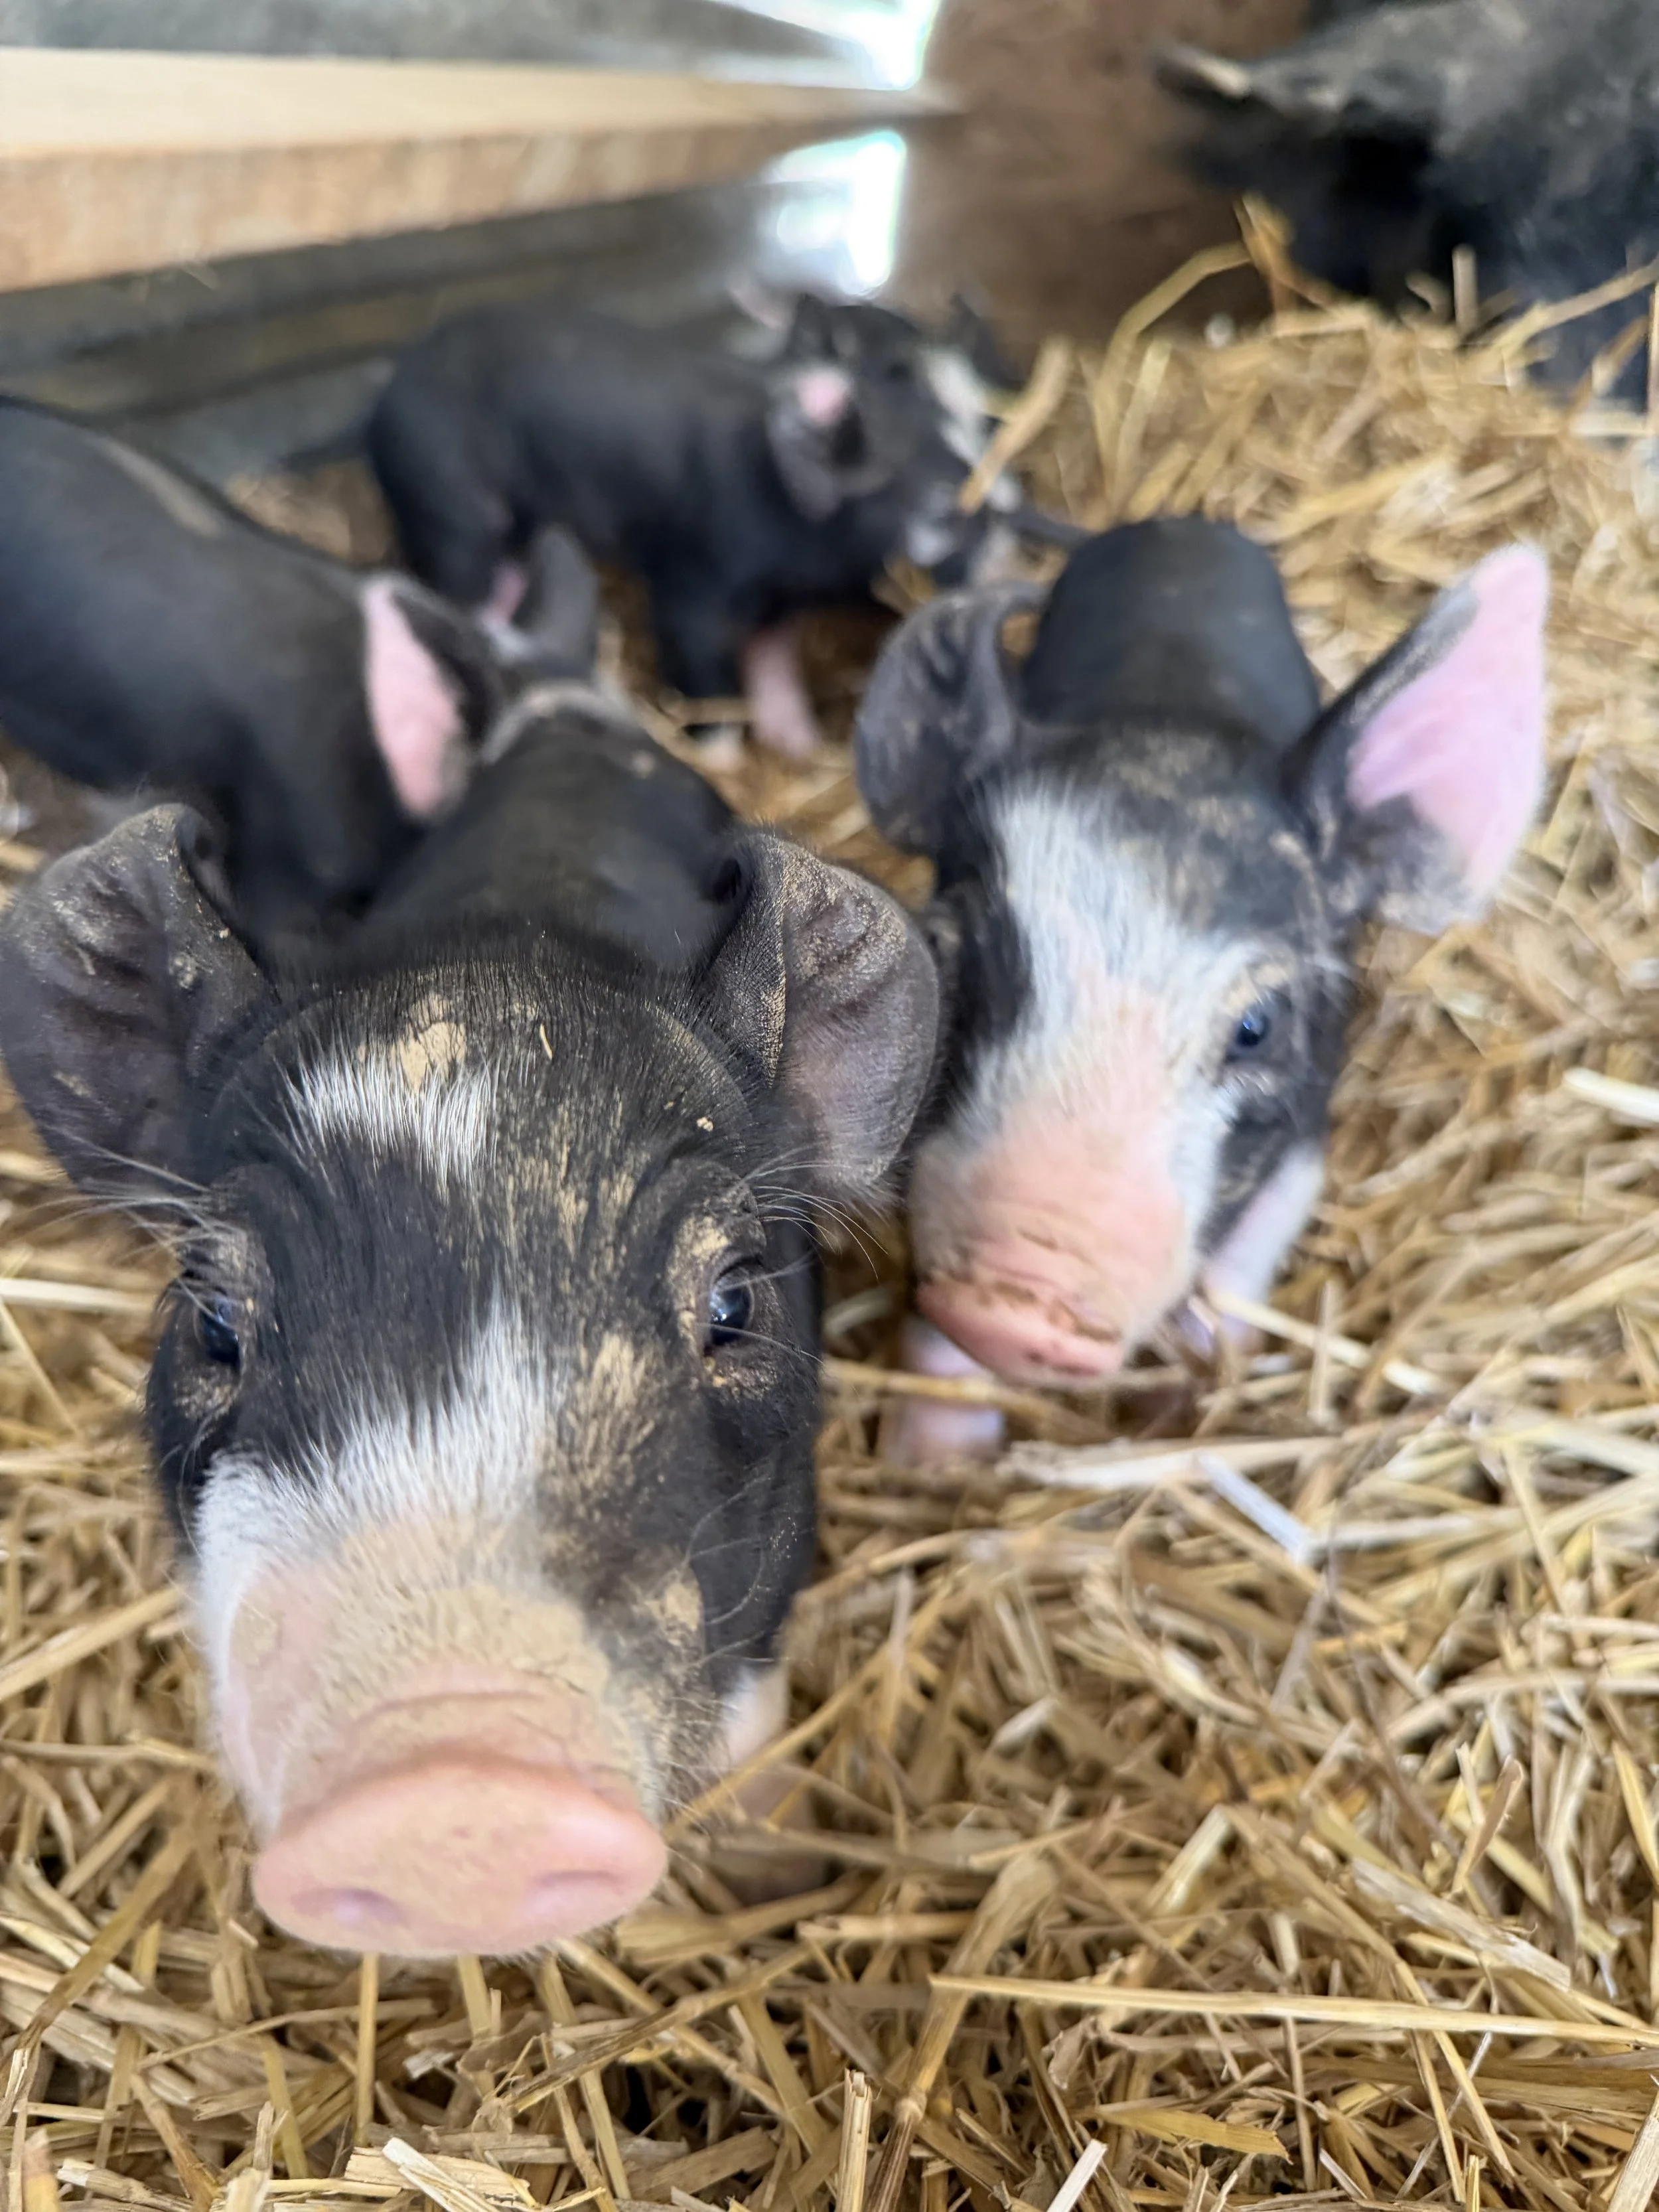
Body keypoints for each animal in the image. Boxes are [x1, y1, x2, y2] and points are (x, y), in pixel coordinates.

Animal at [365, 292, 1032, 764]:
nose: (1014, 563)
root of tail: (387, 391)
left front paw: (801, 745)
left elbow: (773, 664)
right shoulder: (692, 583)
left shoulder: (779, 600)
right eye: (943, 507)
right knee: (466, 586)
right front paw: (723, 760)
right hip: (450, 502)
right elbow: (702, 667)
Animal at [855, 517, 1546, 1448]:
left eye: (1256, 1025)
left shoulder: (1309, 1113)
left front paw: (1190, 1394)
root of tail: (1181, 524)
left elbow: (1247, 1257)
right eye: (952, 964)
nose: (1015, 1304)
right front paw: (930, 1460)